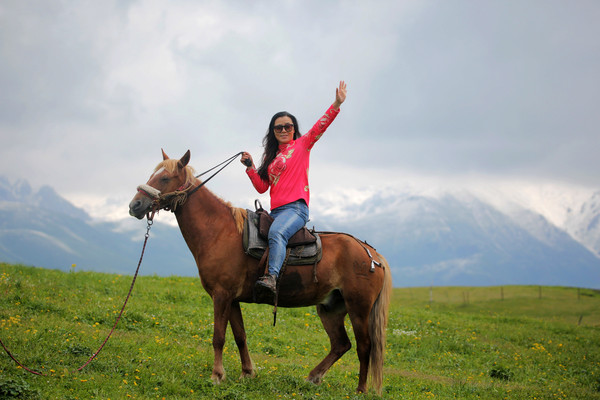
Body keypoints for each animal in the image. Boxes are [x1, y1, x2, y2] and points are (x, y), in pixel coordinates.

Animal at [128, 149, 392, 394]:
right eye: (152, 175)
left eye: (165, 178)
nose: (135, 205)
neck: (219, 231)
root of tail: (371, 254)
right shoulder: (232, 299)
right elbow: (240, 336)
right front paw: (247, 373)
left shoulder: (221, 296)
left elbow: (218, 337)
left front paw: (217, 376)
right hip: (331, 308)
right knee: (341, 344)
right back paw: (313, 377)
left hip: (358, 307)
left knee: (364, 346)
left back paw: (360, 389)